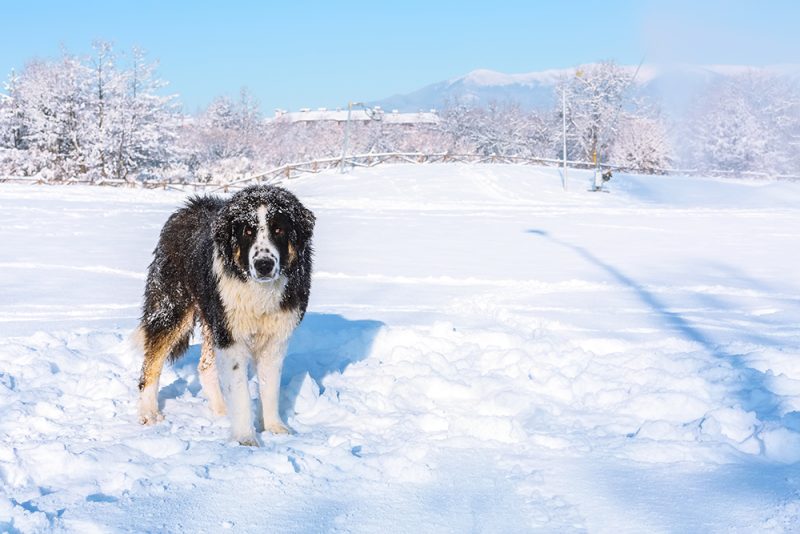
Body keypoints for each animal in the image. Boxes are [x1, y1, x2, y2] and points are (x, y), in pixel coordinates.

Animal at [136, 186, 314, 446]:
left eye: (278, 229)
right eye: (248, 231)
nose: (263, 264)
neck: (258, 292)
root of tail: (188, 208)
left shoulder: (275, 337)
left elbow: (269, 387)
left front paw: (274, 428)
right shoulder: (231, 338)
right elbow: (240, 392)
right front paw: (245, 438)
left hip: (213, 322)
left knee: (205, 367)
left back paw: (221, 410)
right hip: (173, 309)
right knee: (151, 364)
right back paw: (148, 412)